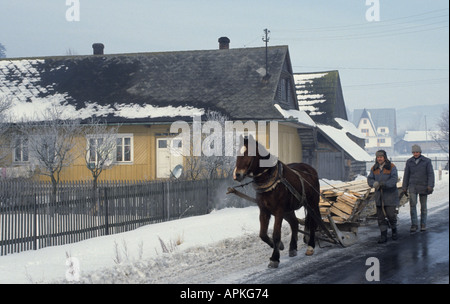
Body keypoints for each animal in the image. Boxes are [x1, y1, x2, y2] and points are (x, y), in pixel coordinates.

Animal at [234, 137, 322, 268]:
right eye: (237, 153)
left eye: (249, 153)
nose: (237, 175)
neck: (270, 180)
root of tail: (310, 169)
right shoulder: (264, 211)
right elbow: (263, 234)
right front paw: (279, 246)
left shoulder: (279, 211)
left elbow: (276, 234)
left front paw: (274, 258)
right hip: (289, 210)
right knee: (294, 223)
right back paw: (293, 248)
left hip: (312, 203)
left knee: (312, 223)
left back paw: (310, 246)